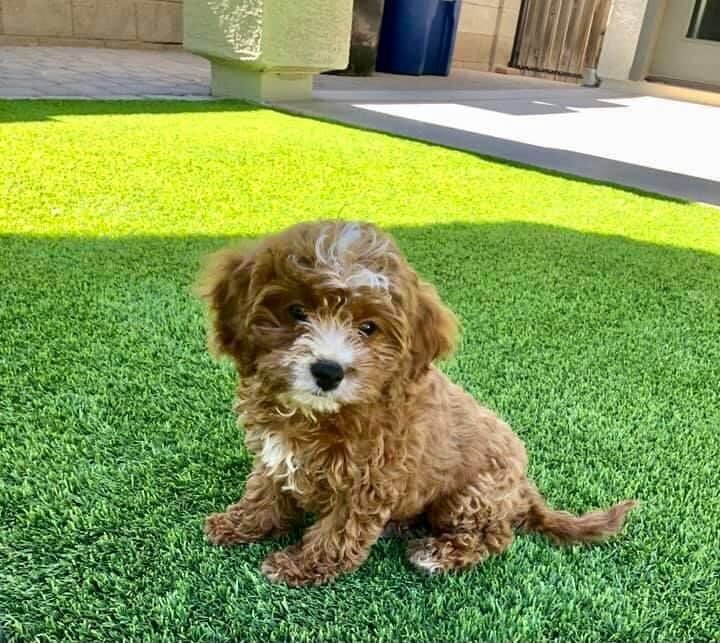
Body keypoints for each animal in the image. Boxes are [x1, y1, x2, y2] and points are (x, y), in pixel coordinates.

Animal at [198, 221, 636, 588]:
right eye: (296, 312)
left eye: (368, 328)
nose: (328, 371)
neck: (319, 414)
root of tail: (524, 487)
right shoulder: (275, 451)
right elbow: (265, 491)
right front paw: (239, 524)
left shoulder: (370, 478)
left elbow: (339, 532)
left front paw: (301, 565)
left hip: (474, 495)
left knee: (497, 536)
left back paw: (438, 553)